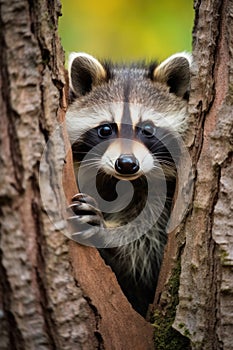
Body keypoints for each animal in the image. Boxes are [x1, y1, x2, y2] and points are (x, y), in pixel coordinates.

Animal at [65, 52, 191, 318]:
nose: (126, 164)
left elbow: (144, 246)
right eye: (105, 129)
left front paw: (106, 230)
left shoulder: (163, 196)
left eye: (148, 130)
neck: (122, 182)